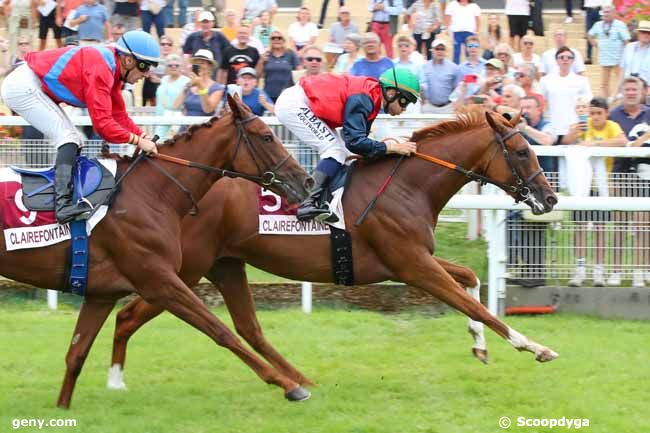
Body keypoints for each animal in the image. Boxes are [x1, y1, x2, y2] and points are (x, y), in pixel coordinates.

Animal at [0, 95, 312, 408]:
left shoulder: (101, 295)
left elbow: (76, 355)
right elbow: (220, 330)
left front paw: (63, 407)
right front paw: (290, 385)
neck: (150, 192)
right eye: (267, 136)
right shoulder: (160, 282)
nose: (306, 180)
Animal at [107, 109, 556, 394]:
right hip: (182, 270)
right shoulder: (413, 265)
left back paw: (298, 380)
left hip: (224, 264)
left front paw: (479, 345)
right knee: (129, 316)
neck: (408, 185)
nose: (549, 197)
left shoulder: (415, 259)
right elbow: (475, 304)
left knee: (247, 327)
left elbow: (471, 279)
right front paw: (534, 347)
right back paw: (115, 378)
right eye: (521, 151)